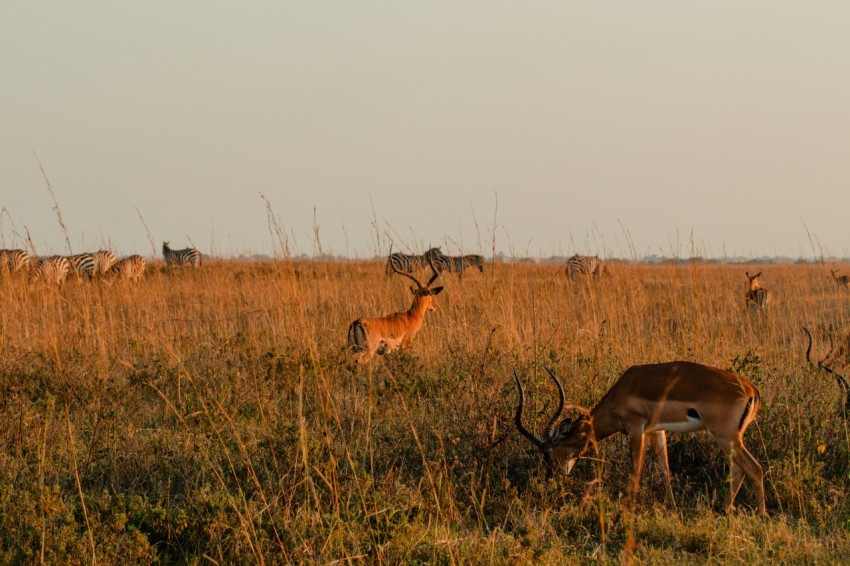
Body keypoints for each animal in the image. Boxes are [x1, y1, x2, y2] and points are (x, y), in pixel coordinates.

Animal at [513, 363, 766, 515]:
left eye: (548, 453)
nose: (549, 479)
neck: (622, 390)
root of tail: (750, 389)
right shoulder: (656, 431)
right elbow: (664, 470)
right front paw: (672, 507)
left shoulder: (636, 429)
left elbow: (635, 471)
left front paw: (628, 509)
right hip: (730, 439)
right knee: (739, 470)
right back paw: (725, 510)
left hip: (725, 436)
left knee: (754, 468)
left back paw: (760, 514)